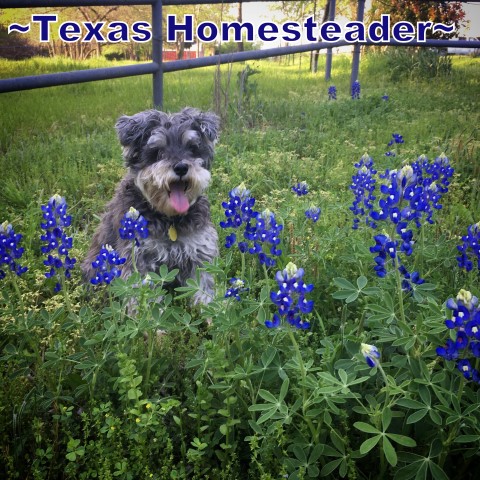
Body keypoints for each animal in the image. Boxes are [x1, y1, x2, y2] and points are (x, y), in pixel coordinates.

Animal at [82, 108, 219, 304]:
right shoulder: (139, 260)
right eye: (158, 151)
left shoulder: (198, 253)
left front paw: (214, 310)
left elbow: (204, 289)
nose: (181, 167)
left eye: (192, 148)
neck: (169, 219)